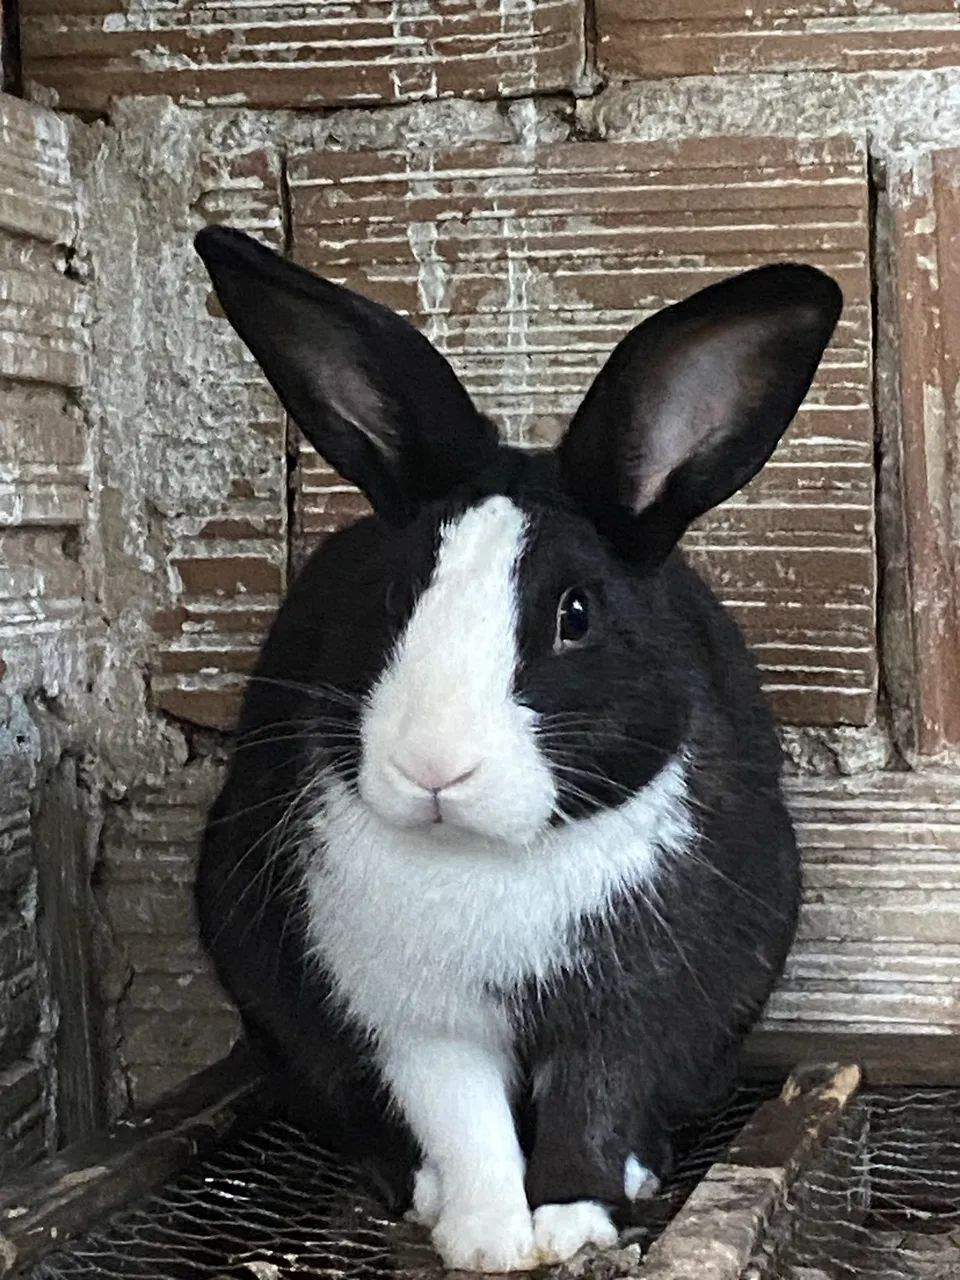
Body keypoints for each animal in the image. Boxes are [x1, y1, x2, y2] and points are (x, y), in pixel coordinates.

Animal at [193, 224, 840, 1273]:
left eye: (575, 615)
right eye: (391, 597)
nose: (433, 768)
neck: (493, 861)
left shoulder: (632, 1017)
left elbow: (597, 1099)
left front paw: (572, 1215)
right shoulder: (418, 1026)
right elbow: (461, 1121)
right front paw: (489, 1236)